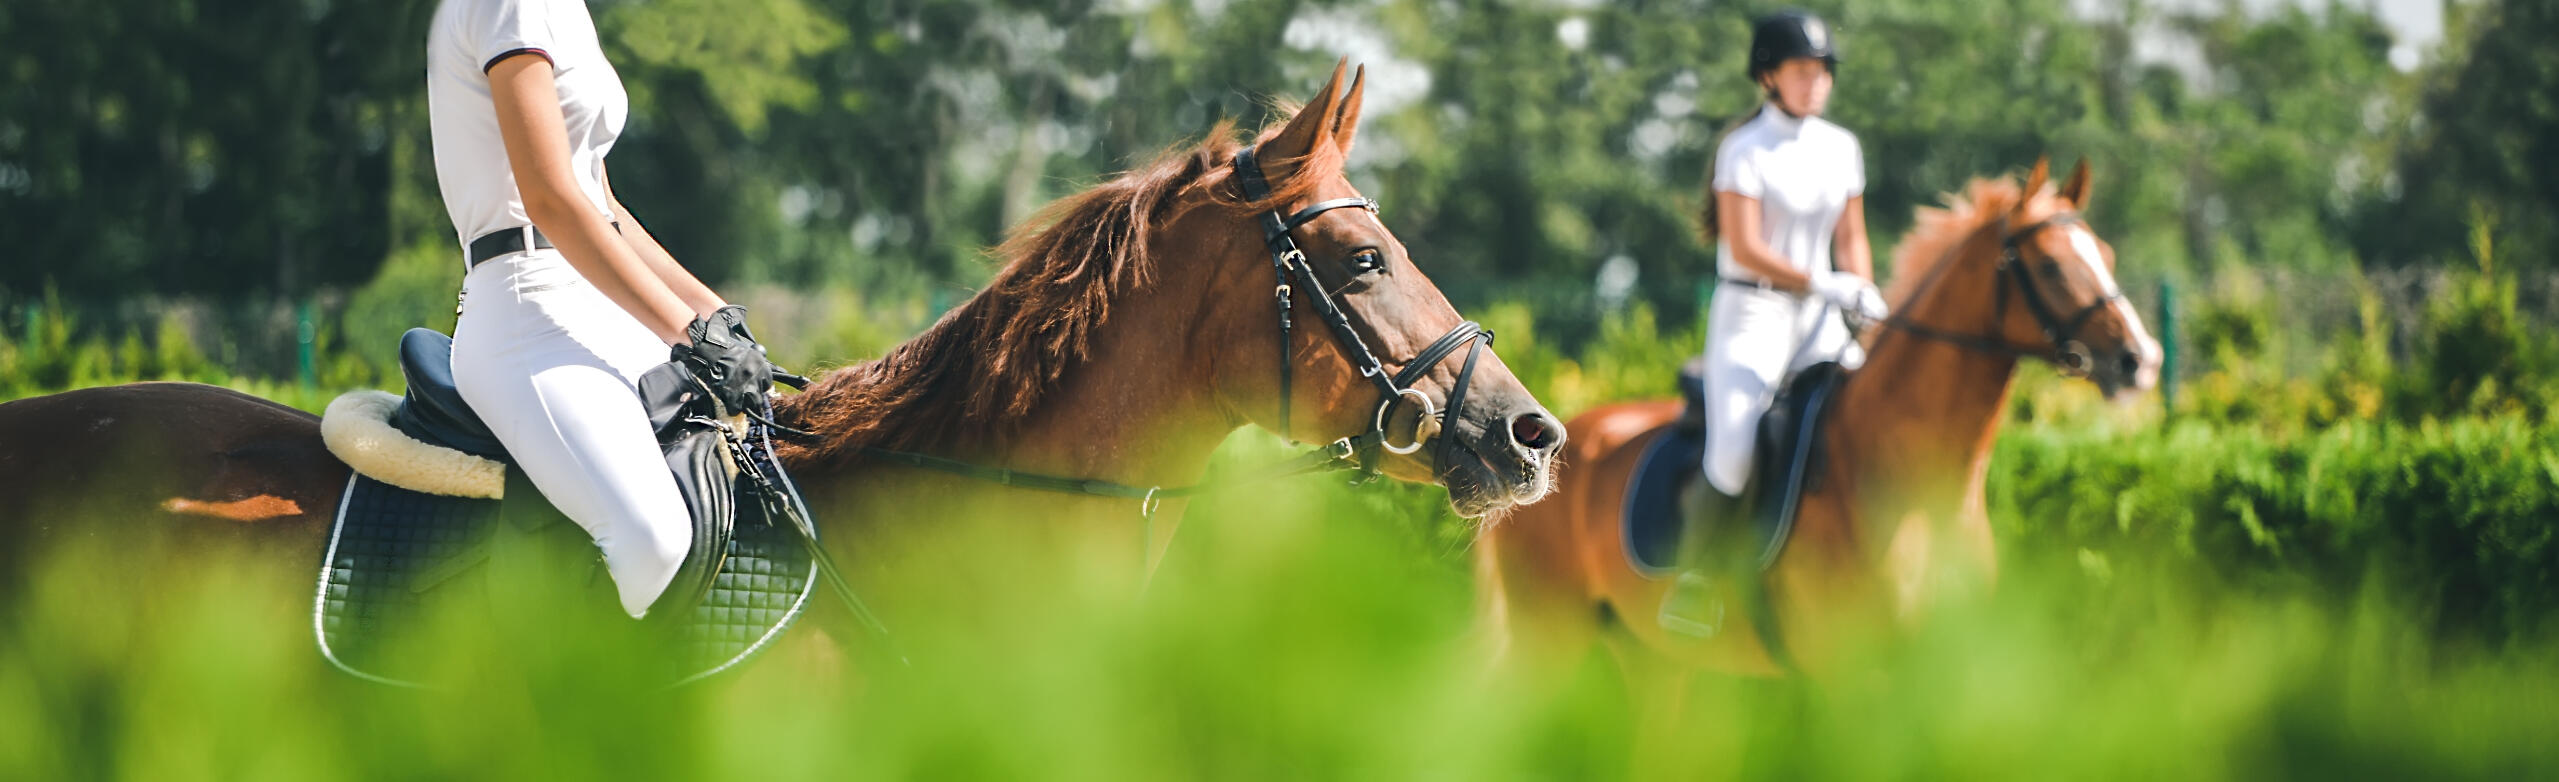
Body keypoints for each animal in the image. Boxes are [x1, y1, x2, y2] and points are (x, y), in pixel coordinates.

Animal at [1473, 160, 2160, 707]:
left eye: (2107, 256)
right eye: (2051, 265)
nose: (2140, 359)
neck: (1910, 484)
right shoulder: (1850, 678)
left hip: (1653, 660)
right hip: (1549, 639)